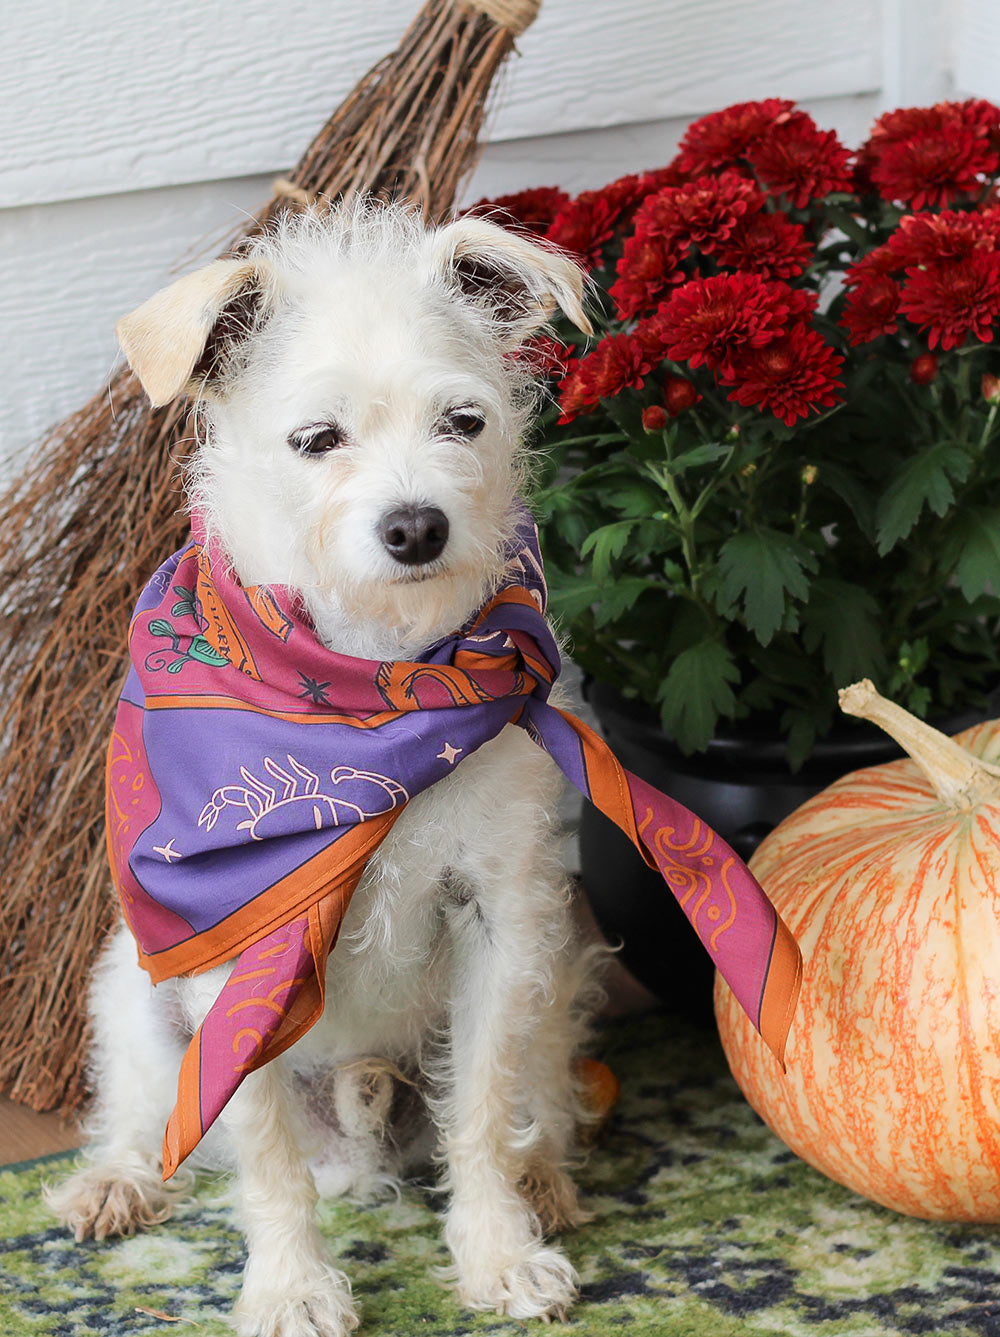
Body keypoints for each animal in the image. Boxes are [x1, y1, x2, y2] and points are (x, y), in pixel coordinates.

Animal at [46, 200, 598, 1337]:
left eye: (463, 421)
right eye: (316, 440)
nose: (416, 525)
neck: (371, 689)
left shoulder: (501, 919)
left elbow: (482, 1110)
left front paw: (494, 1253)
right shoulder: (234, 953)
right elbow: (263, 1152)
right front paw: (291, 1287)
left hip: (557, 954)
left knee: (535, 1095)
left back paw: (542, 1175)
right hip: (133, 986)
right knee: (146, 1115)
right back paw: (116, 1180)